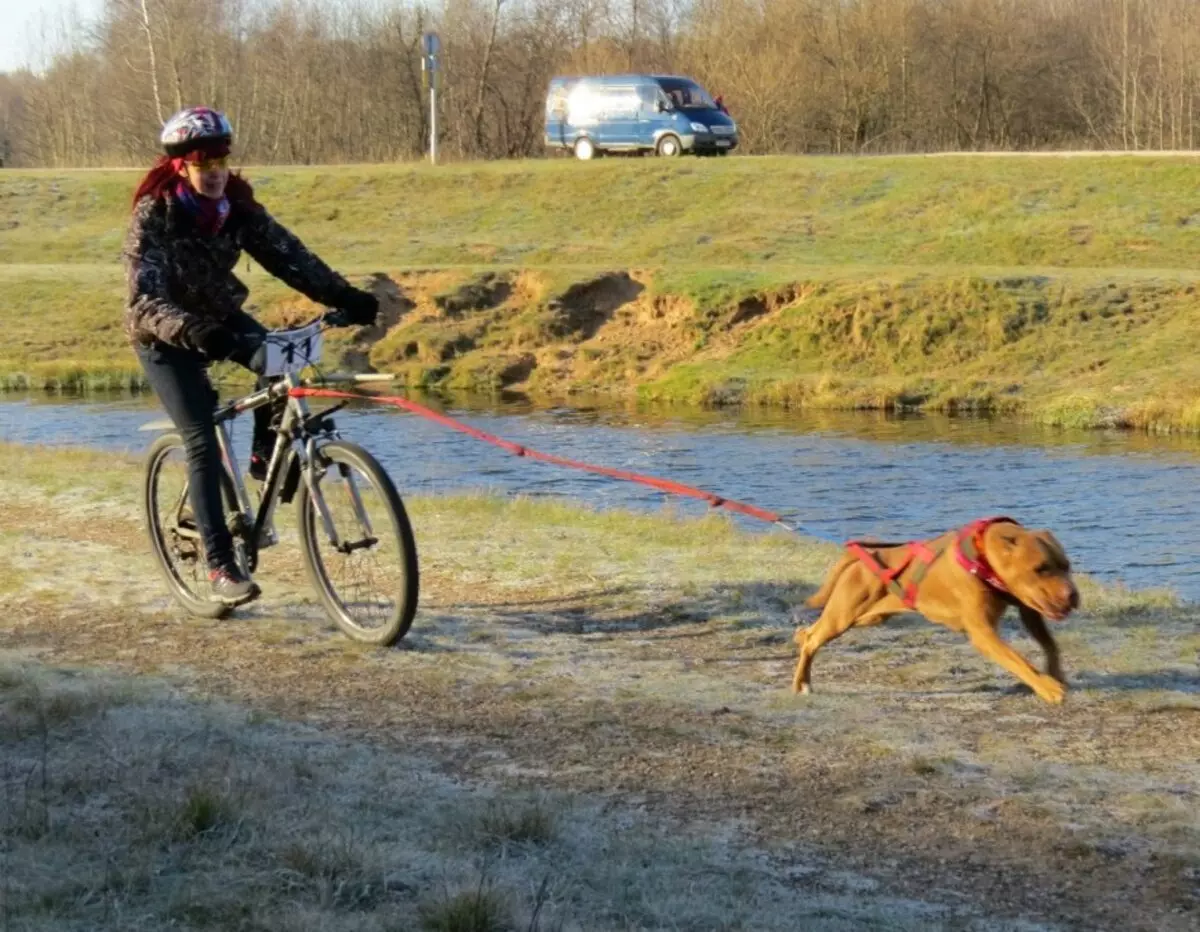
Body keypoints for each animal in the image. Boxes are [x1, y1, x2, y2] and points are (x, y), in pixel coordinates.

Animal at [792, 513, 1084, 700]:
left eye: (1067, 566)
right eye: (1040, 568)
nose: (1072, 595)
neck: (984, 557)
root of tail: (865, 556)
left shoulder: (1030, 609)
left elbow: (1049, 644)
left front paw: (1056, 674)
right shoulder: (983, 633)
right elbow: (1018, 660)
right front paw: (1048, 688)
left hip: (868, 617)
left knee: (809, 633)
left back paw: (800, 646)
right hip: (844, 616)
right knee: (813, 639)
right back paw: (801, 683)